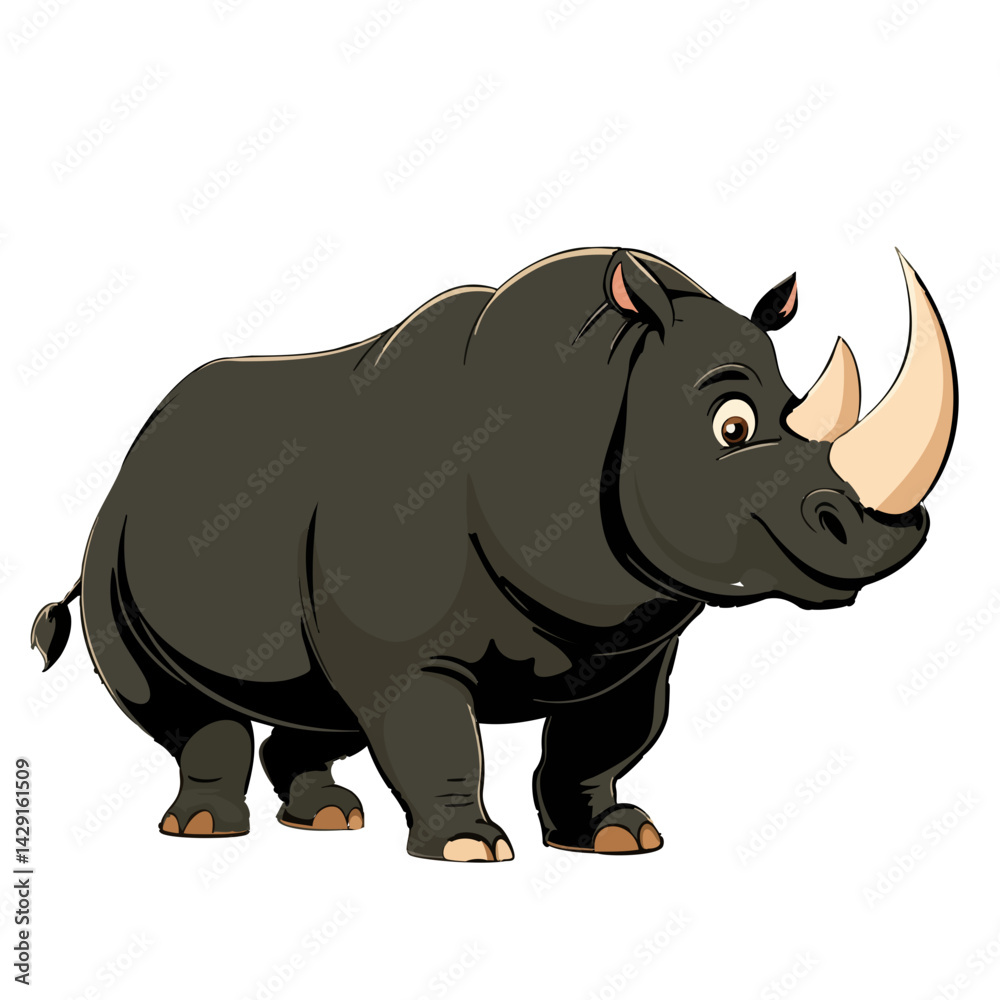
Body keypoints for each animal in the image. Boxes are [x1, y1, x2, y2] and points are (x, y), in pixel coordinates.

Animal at [31, 246, 957, 862]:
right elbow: (433, 730)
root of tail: (134, 456)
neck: (594, 389)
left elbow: (602, 740)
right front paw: (469, 850)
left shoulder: (633, 639)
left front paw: (616, 839)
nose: (883, 536)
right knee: (185, 704)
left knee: (321, 704)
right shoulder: (406, 648)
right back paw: (202, 832)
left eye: (797, 404)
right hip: (111, 538)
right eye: (731, 427)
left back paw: (327, 820)